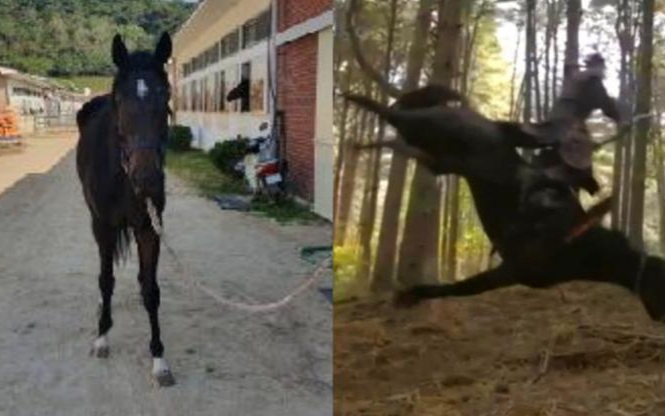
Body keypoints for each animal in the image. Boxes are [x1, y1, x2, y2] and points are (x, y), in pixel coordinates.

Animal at [76, 33, 175, 386]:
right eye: (120, 99)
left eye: (166, 94)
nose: (146, 180)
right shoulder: (103, 226)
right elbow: (106, 280)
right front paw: (102, 337)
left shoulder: (149, 227)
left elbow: (150, 289)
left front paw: (159, 358)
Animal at [344, 87, 665, 322]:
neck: (576, 243)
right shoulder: (511, 268)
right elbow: (457, 288)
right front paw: (409, 294)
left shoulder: (509, 274)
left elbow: (456, 289)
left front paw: (410, 296)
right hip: (427, 128)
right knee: (392, 113)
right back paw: (356, 106)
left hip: (436, 155)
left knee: (402, 139)